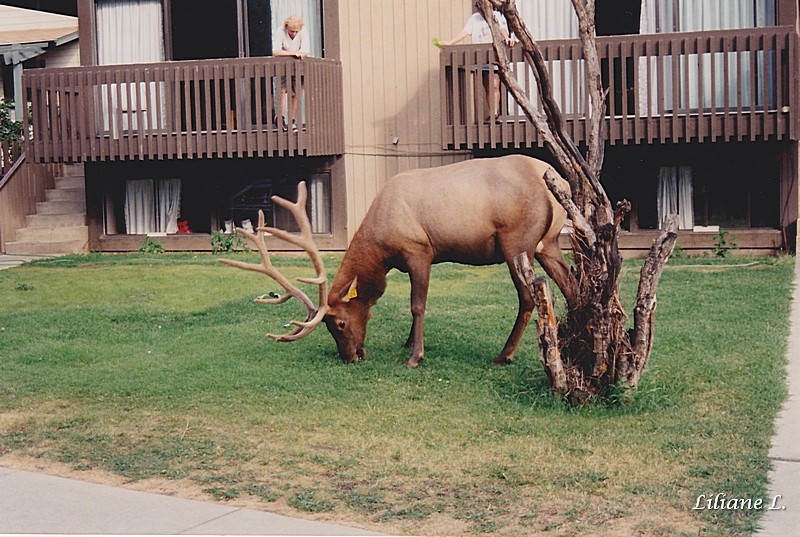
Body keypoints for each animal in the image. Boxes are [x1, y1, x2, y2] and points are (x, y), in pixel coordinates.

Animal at [222, 153, 580, 366]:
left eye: (339, 323)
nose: (350, 357)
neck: (381, 249)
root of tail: (561, 183)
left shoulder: (419, 249)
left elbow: (417, 305)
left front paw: (415, 357)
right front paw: (408, 344)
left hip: (516, 240)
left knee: (527, 297)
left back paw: (504, 355)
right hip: (547, 243)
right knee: (571, 285)